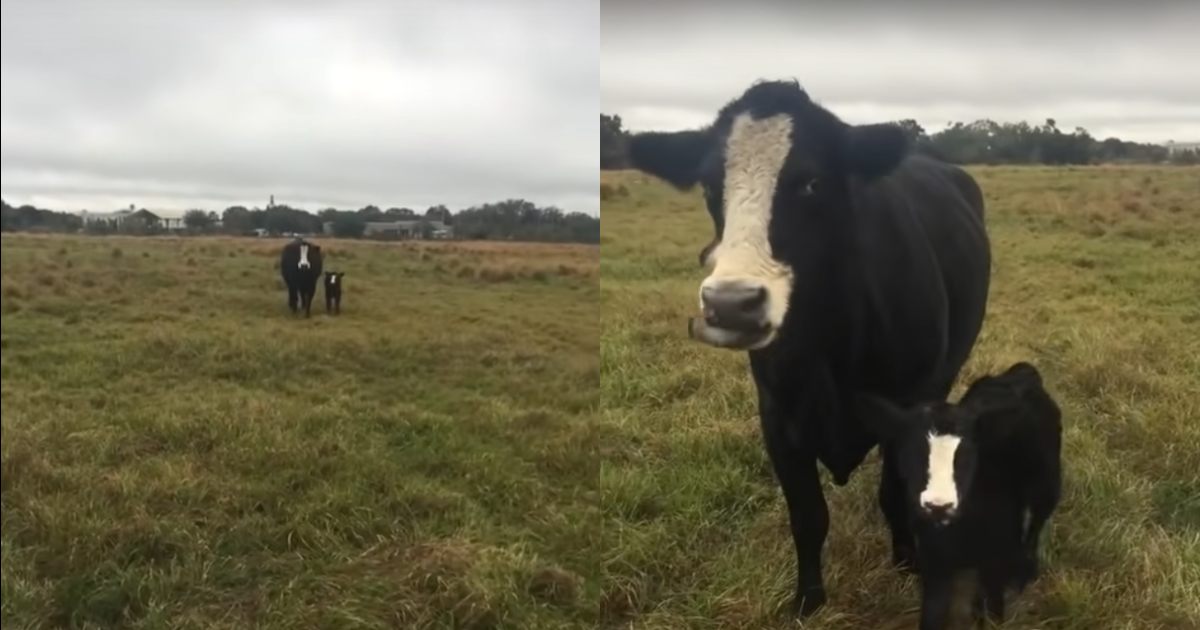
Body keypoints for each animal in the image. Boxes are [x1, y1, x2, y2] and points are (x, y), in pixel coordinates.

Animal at [619, 79, 993, 619]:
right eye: (710, 186)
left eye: (813, 183)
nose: (730, 304)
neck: (831, 350)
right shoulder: (778, 416)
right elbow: (808, 516)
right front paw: (808, 601)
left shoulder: (904, 408)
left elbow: (893, 493)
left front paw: (907, 561)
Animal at [859, 360, 1065, 624]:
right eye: (910, 455)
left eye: (967, 455)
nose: (938, 505)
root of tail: (1021, 371)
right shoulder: (935, 562)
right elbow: (934, 612)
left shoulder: (995, 558)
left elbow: (992, 612)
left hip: (1046, 487)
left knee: (1036, 524)